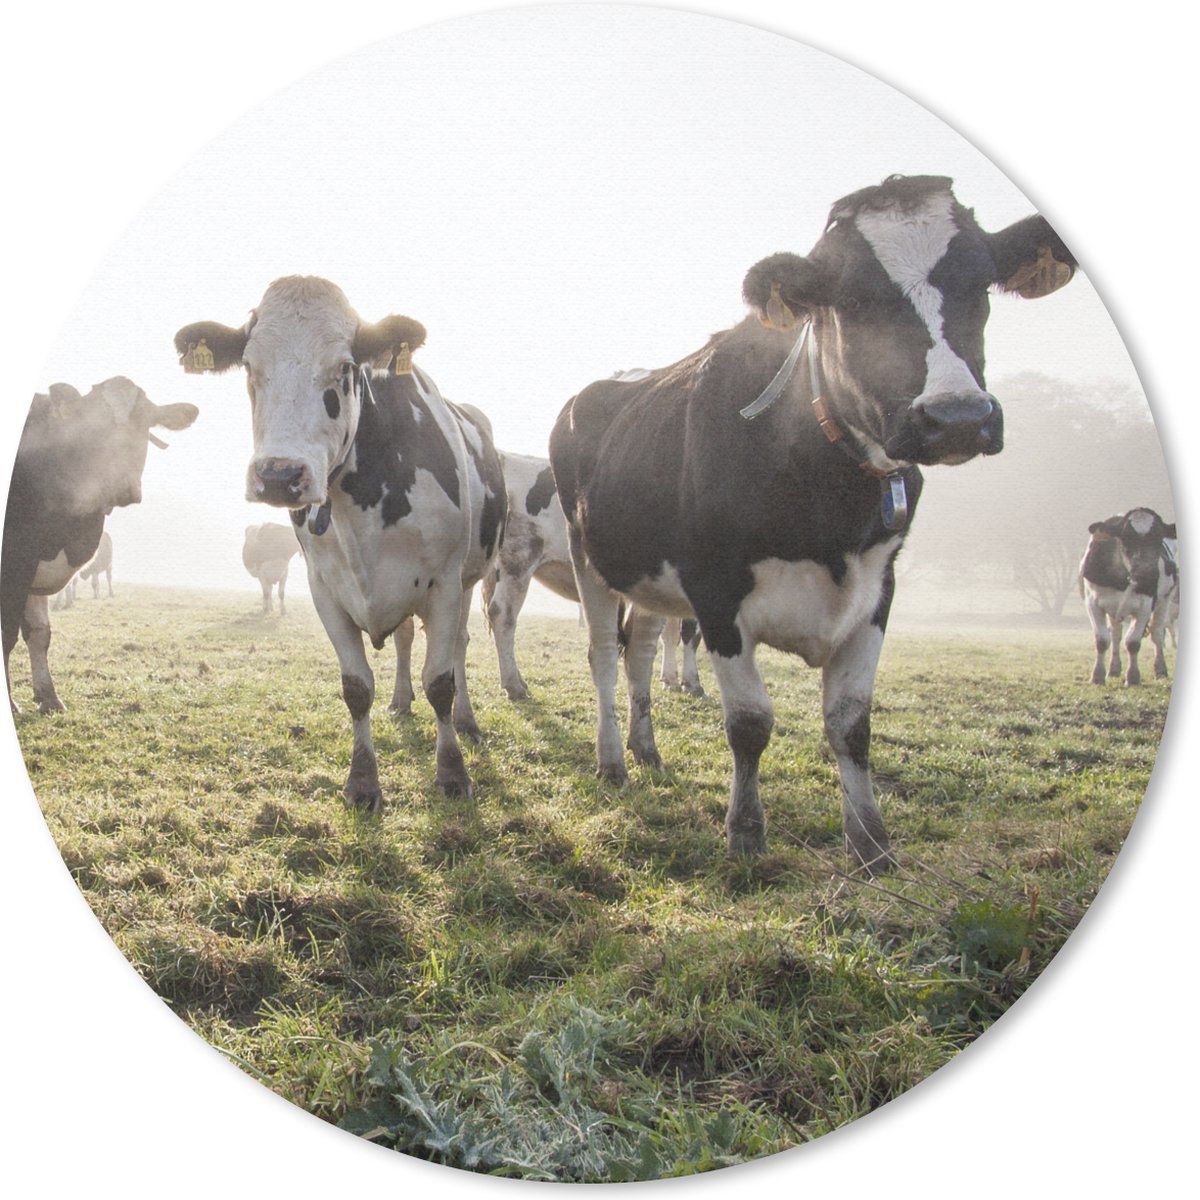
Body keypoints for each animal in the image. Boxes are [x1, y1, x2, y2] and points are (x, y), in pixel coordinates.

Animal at [3, 379, 198, 713]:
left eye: (145, 422)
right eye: (91, 427)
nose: (124, 486)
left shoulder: (35, 565)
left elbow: (39, 633)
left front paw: (49, 696)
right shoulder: (16, 560)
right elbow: (7, 634)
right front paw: (11, 705)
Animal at [174, 276, 506, 810]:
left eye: (345, 367)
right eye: (249, 366)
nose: (279, 475)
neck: (365, 499)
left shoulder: (445, 583)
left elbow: (441, 682)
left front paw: (452, 773)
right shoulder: (324, 588)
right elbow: (356, 688)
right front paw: (363, 781)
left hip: (471, 577)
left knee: (457, 646)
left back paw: (467, 723)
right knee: (406, 640)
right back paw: (400, 701)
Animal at [549, 174, 1075, 872]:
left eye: (983, 283)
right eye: (850, 300)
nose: (958, 416)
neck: (828, 498)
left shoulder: (879, 588)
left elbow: (851, 723)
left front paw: (872, 844)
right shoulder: (716, 592)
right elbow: (750, 723)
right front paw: (746, 834)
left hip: (651, 575)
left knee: (638, 653)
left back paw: (646, 750)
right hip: (591, 558)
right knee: (606, 656)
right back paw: (612, 762)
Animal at [1078, 507, 1177, 686]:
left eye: (1159, 538)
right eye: (1126, 537)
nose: (1148, 574)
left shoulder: (1146, 606)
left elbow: (1133, 642)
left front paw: (1133, 678)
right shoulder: (1092, 603)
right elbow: (1102, 640)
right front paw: (1097, 676)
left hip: (1166, 600)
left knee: (1157, 634)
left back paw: (1160, 670)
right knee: (1116, 635)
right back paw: (1114, 669)